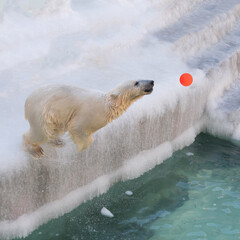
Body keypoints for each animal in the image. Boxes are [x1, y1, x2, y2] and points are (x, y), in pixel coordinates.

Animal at [22, 80, 154, 159]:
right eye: (136, 83)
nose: (151, 82)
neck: (107, 105)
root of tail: (27, 101)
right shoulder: (87, 114)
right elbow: (77, 128)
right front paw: (81, 147)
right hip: (42, 113)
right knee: (41, 133)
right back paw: (35, 150)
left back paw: (56, 141)